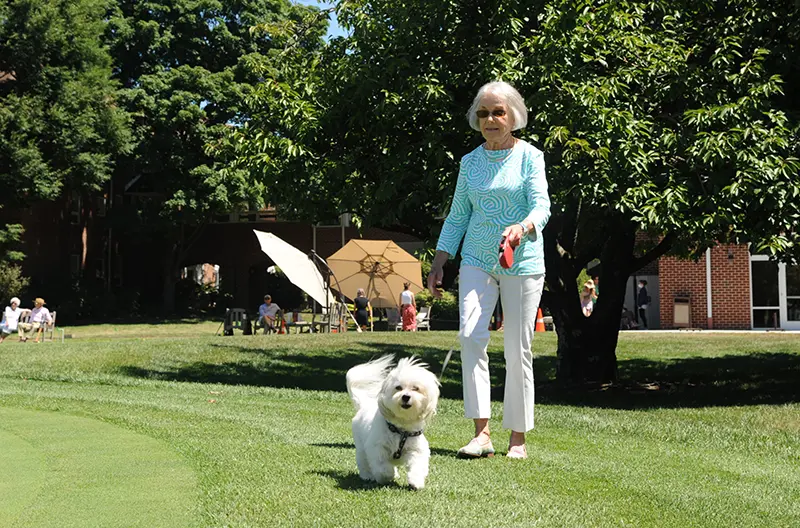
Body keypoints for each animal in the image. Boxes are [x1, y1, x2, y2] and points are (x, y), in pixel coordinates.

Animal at [346, 354, 440, 490]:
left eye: (416, 388)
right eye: (398, 387)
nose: (406, 396)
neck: (401, 430)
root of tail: (364, 404)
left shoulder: (416, 450)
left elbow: (417, 466)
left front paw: (415, 482)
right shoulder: (377, 447)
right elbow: (383, 467)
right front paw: (386, 477)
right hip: (361, 447)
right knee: (363, 461)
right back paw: (368, 476)